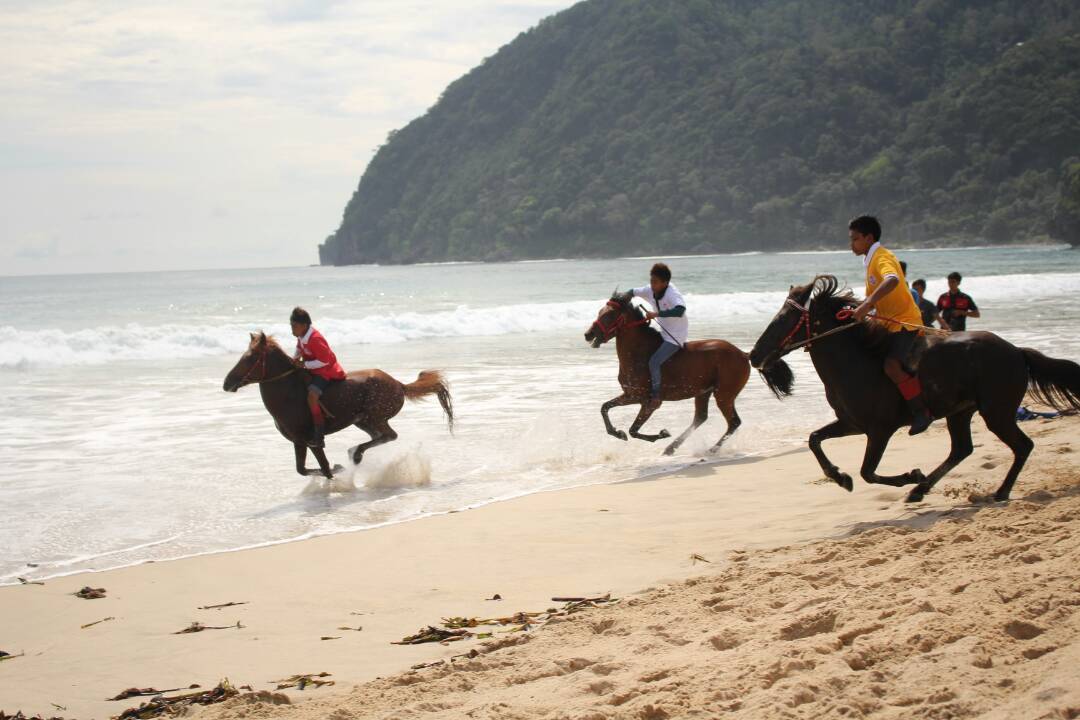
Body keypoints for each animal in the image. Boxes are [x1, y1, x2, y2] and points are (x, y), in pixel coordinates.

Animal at [223, 332, 451, 479]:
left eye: (250, 357)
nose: (226, 383)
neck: (289, 394)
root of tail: (399, 384)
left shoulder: (310, 440)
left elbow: (324, 468)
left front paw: (338, 469)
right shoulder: (299, 441)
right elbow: (302, 469)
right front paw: (338, 468)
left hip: (375, 416)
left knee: (389, 435)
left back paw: (355, 454)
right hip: (363, 420)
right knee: (382, 436)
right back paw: (355, 453)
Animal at [583, 289, 794, 453]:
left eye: (609, 315)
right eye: (600, 312)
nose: (588, 334)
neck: (639, 354)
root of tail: (744, 354)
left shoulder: (649, 402)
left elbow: (634, 430)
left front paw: (660, 434)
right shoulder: (631, 395)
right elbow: (605, 408)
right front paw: (617, 432)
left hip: (724, 394)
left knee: (734, 422)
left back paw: (710, 449)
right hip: (704, 392)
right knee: (701, 418)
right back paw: (672, 448)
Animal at [747, 274, 1080, 500]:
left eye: (784, 318)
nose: (754, 355)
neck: (854, 364)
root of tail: (1017, 351)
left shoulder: (879, 429)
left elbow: (868, 472)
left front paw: (908, 475)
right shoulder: (851, 424)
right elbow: (815, 439)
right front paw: (840, 477)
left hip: (996, 412)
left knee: (1022, 446)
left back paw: (997, 492)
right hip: (960, 412)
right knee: (962, 449)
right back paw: (921, 490)